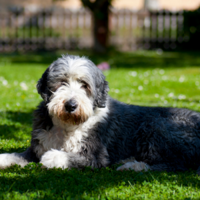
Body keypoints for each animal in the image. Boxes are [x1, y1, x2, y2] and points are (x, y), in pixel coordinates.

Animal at [0, 55, 200, 173]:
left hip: (157, 126)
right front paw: (5, 158)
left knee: (176, 163)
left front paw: (53, 157)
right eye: (62, 82)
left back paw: (133, 166)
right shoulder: (37, 147)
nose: (71, 105)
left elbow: (68, 157)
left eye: (84, 85)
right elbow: (18, 155)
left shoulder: (96, 155)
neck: (68, 125)